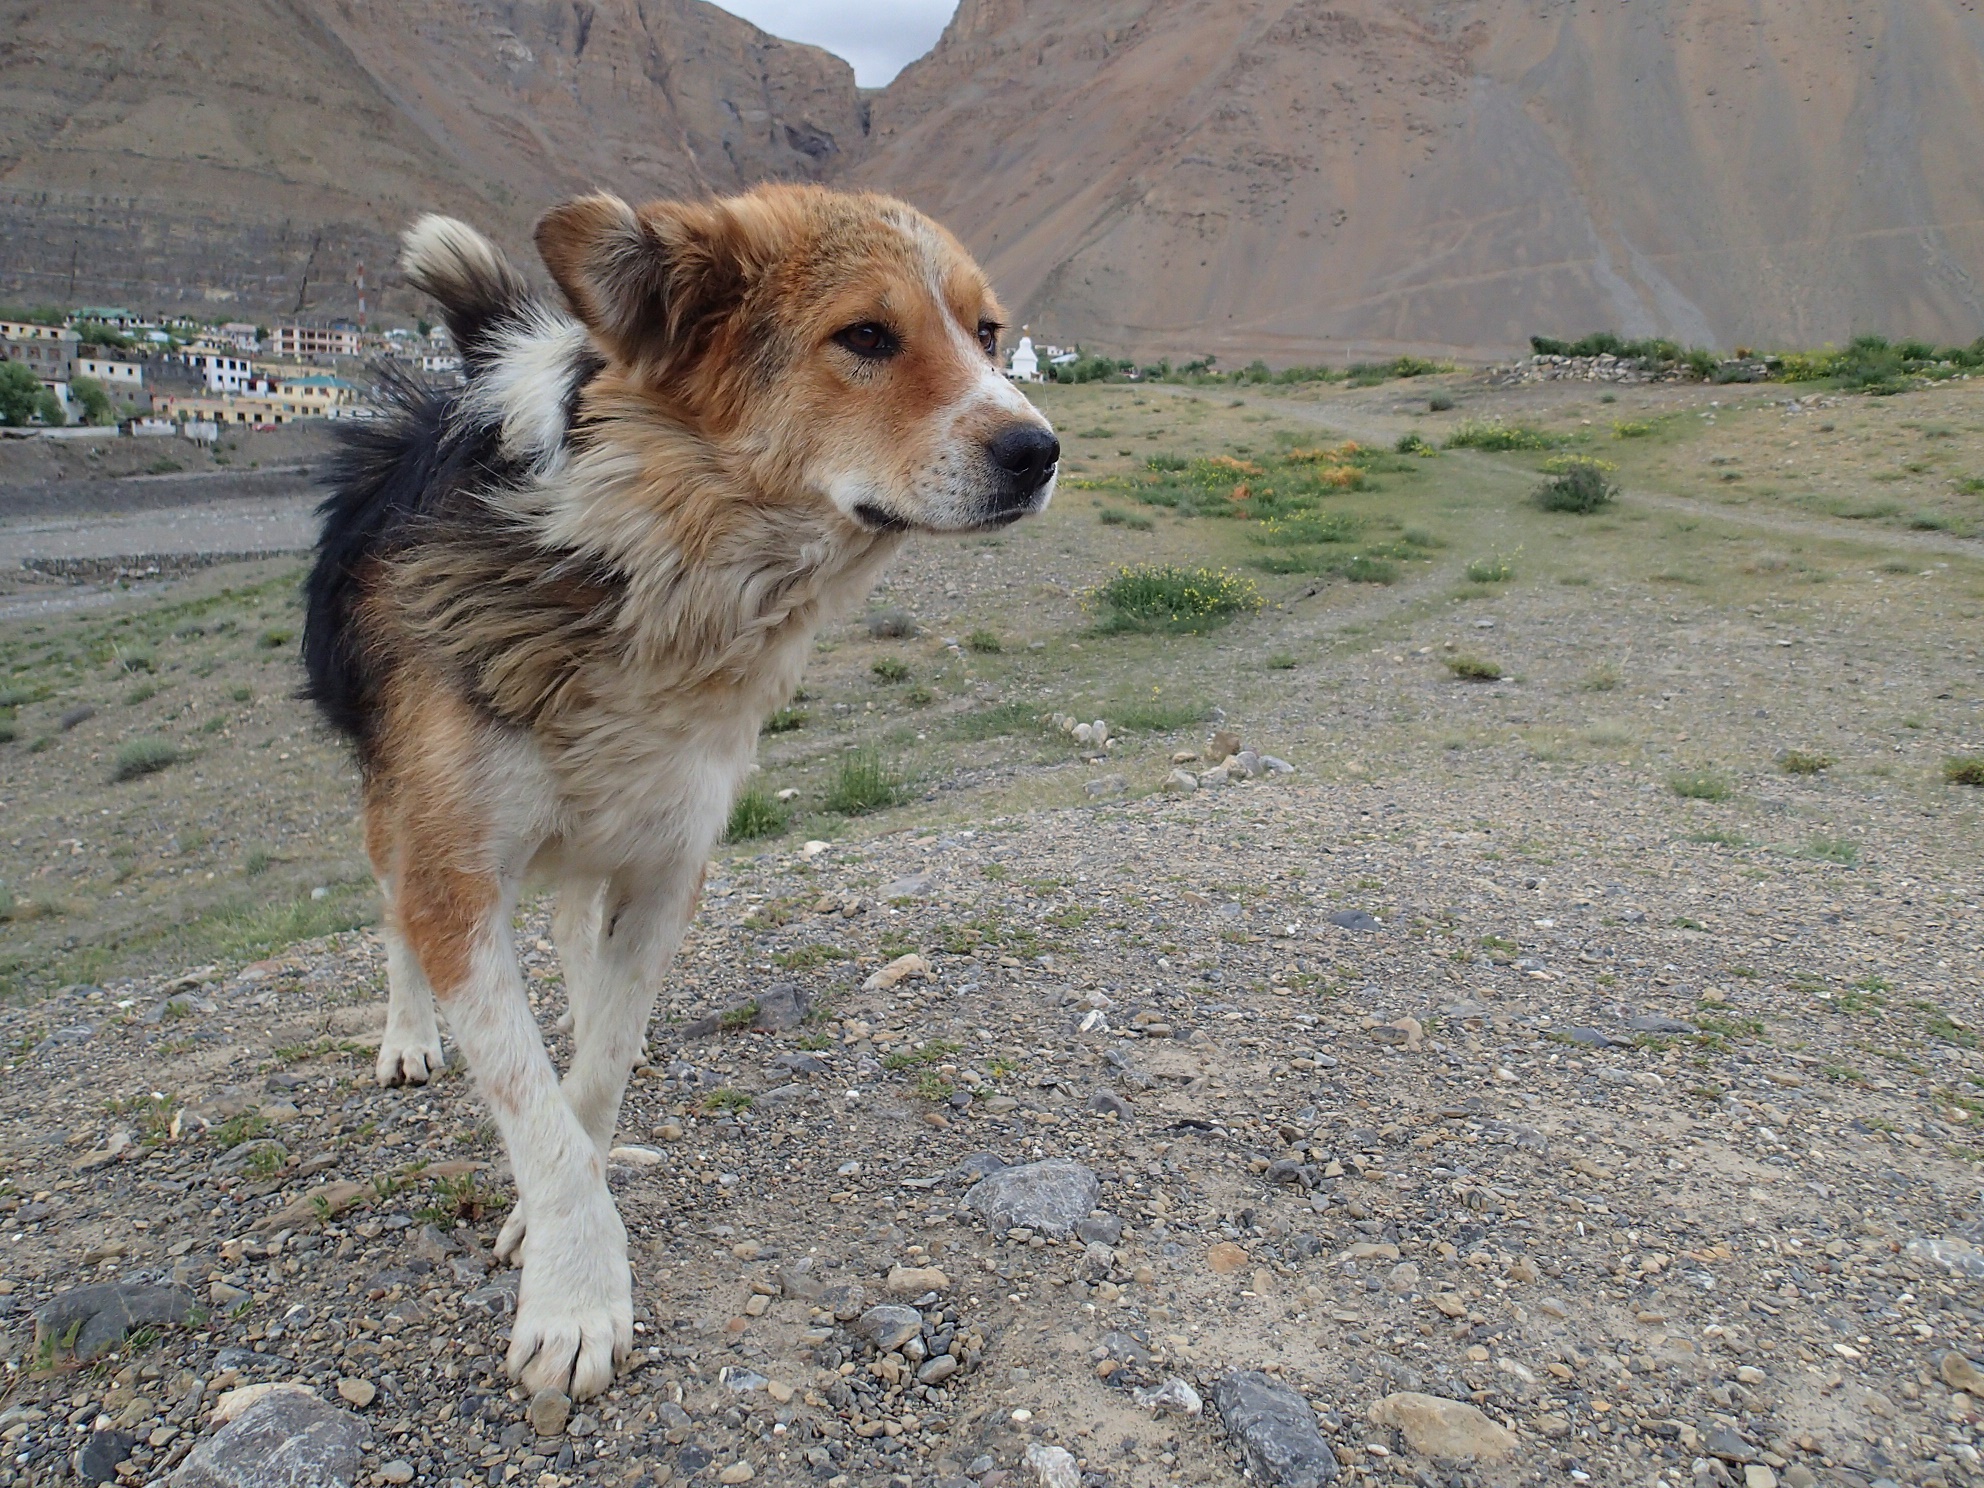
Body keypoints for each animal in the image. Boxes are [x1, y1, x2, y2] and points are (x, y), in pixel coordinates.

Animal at [301, 184, 1057, 1398]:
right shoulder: (455, 875)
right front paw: (573, 1295)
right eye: (865, 336)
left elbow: (599, 1067)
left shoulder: (668, 861)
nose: (1040, 450)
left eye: (989, 335)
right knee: (390, 922)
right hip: (393, 814)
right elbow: (529, 1103)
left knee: (577, 935)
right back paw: (409, 1037)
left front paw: (569, 1185)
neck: (647, 553)